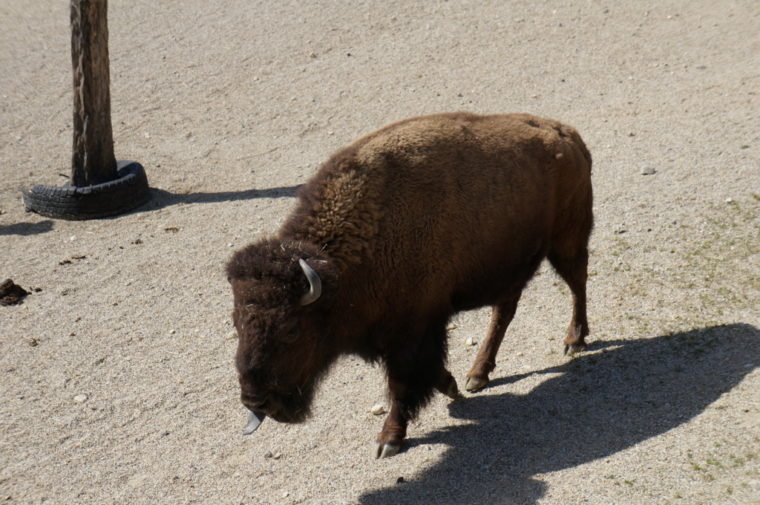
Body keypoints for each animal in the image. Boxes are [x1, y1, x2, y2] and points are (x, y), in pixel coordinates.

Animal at [226, 112, 592, 458]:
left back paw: (573, 341)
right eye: (237, 323)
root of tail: (567, 134)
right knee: (504, 312)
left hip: (567, 241)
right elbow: (425, 371)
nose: (256, 401)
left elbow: (401, 384)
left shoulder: (409, 332)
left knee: (577, 285)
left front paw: (389, 440)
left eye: (291, 329)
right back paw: (478, 374)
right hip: (510, 267)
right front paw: (451, 385)